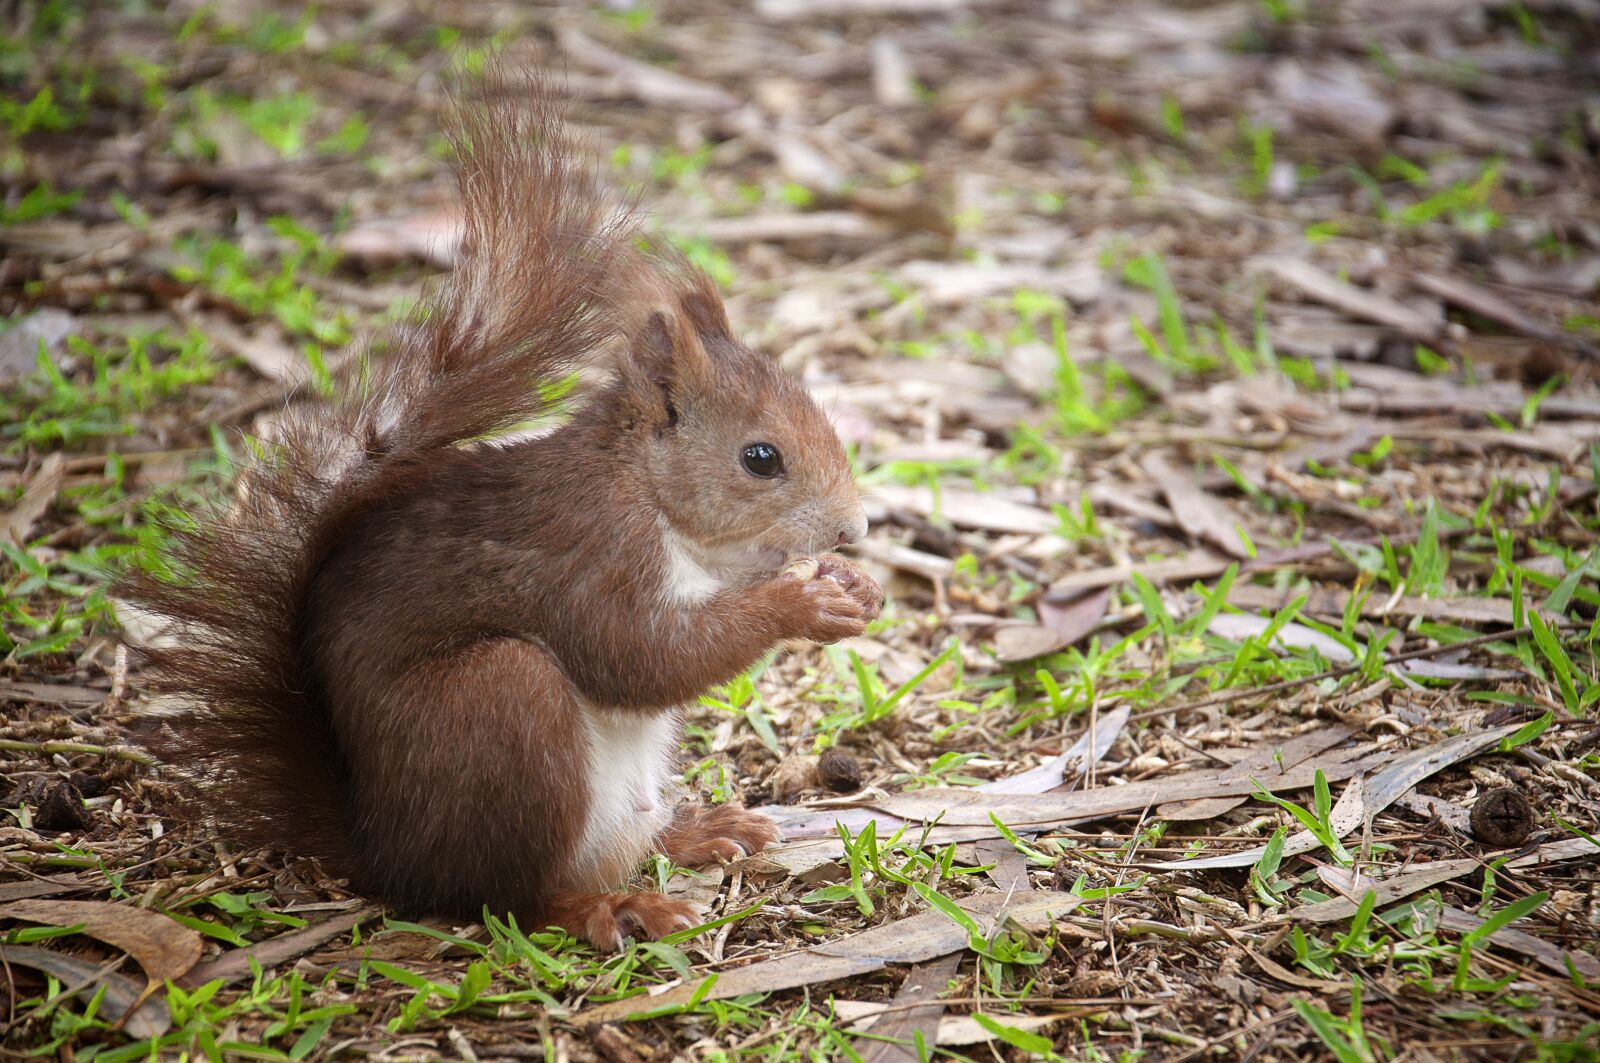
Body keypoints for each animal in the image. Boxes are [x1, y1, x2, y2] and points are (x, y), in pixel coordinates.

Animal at [118, 79, 883, 951]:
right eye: (761, 457)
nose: (854, 530)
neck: (650, 496)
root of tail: (386, 852)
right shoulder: (588, 550)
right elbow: (637, 655)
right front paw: (803, 602)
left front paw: (850, 585)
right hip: (500, 705)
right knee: (506, 896)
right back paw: (611, 907)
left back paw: (696, 831)